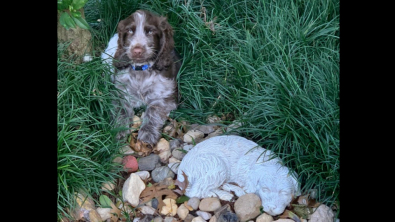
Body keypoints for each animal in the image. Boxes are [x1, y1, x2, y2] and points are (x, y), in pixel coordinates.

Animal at [102, 9, 183, 154]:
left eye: (150, 31)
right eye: (129, 31)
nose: (137, 50)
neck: (141, 70)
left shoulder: (166, 96)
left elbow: (153, 111)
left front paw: (147, 135)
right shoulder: (118, 92)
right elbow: (121, 110)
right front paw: (119, 130)